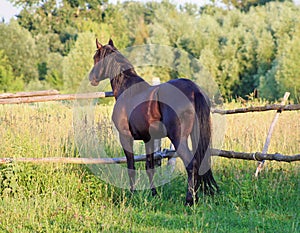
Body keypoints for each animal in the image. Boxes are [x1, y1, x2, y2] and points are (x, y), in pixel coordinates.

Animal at [88, 38, 218, 206]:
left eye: (96, 57)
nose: (91, 78)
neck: (127, 90)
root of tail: (193, 90)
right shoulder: (148, 139)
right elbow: (149, 166)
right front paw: (154, 194)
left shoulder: (125, 137)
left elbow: (131, 166)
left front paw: (132, 195)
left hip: (178, 138)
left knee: (191, 164)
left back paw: (189, 200)